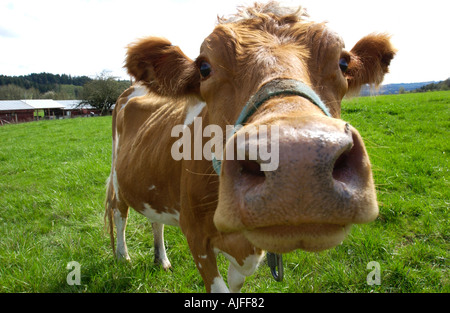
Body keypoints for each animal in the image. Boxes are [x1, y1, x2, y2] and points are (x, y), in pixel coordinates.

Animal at [103, 1, 396, 292]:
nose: (298, 162)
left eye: (343, 62)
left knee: (155, 221)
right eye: (204, 68)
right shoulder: (196, 236)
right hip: (117, 174)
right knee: (119, 211)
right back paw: (122, 256)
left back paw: (161, 259)